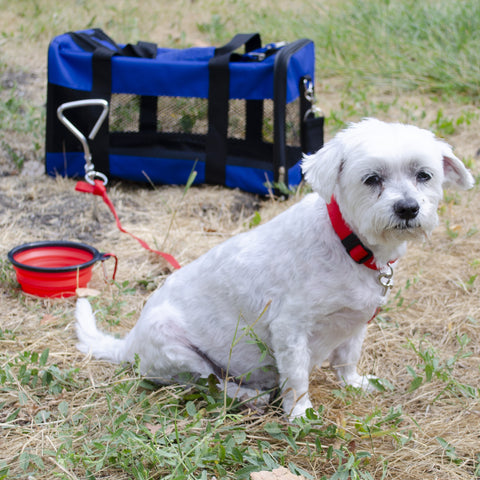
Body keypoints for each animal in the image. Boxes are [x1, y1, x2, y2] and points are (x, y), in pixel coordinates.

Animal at [75, 118, 472, 418]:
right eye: (371, 179)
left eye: (424, 175)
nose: (408, 208)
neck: (349, 244)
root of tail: (129, 344)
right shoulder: (290, 329)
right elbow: (296, 377)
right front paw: (300, 414)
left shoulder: (356, 322)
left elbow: (347, 359)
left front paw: (354, 383)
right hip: (175, 347)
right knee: (210, 383)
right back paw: (249, 396)